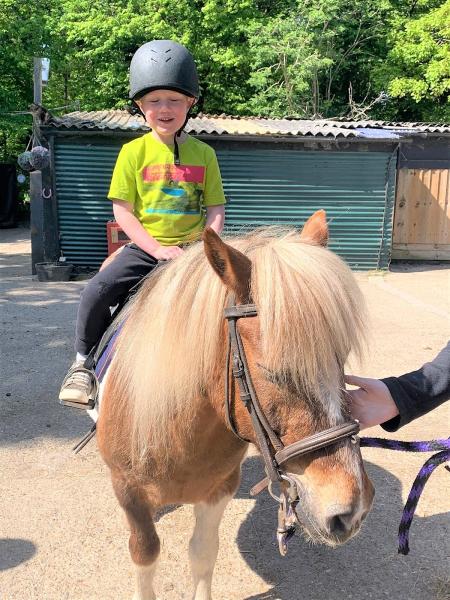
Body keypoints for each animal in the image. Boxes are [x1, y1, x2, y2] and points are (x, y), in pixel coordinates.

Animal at [96, 211, 374, 600]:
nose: (352, 510)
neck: (177, 432)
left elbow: (202, 552)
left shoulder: (220, 488)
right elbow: (145, 553)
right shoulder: (129, 491)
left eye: (342, 357)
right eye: (273, 370)